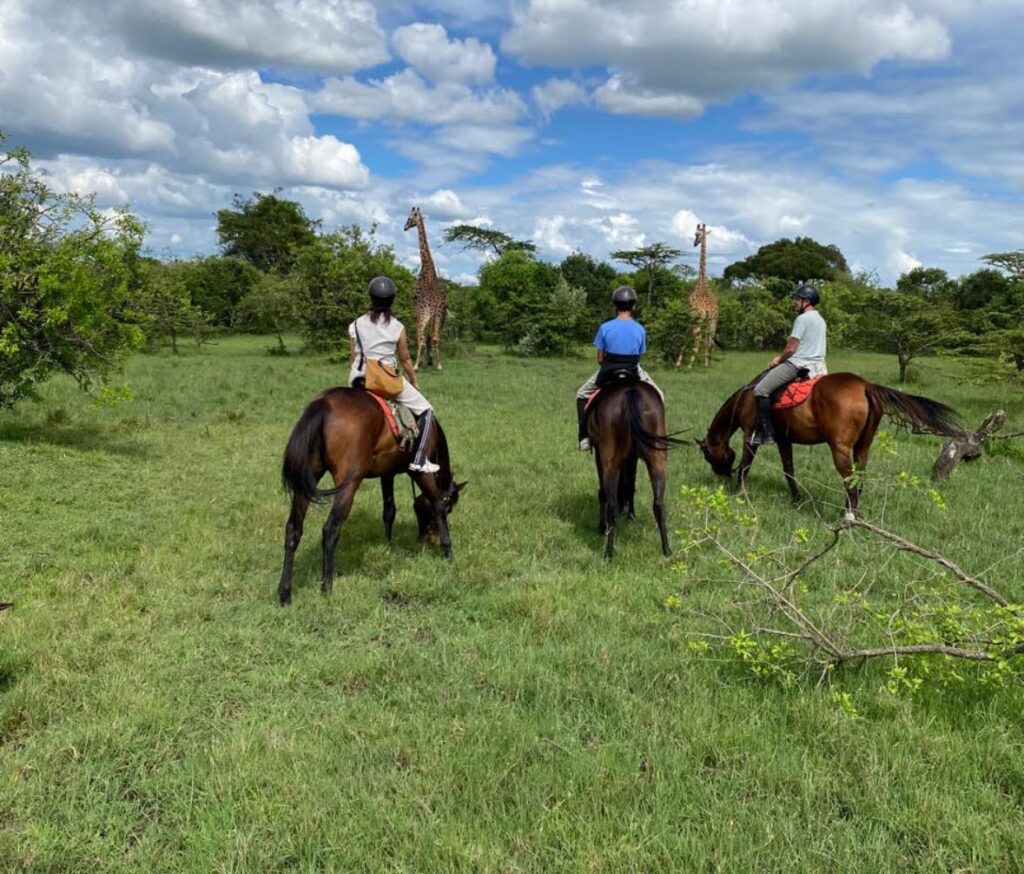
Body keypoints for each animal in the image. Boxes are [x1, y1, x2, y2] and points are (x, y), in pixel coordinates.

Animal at [274, 390, 462, 609]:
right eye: (451, 507)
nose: (428, 539)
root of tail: (324, 403)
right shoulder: (419, 473)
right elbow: (438, 504)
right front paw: (448, 552)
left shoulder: (387, 473)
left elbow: (389, 511)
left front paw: (388, 547)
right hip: (349, 484)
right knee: (330, 530)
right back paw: (327, 588)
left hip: (307, 479)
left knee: (293, 529)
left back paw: (285, 594)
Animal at [401, 206, 446, 370]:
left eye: (409, 218)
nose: (404, 227)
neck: (426, 265)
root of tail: (433, 305)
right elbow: (430, 338)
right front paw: (430, 361)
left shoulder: (415, 307)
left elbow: (421, 339)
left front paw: (421, 363)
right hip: (440, 317)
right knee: (435, 338)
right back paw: (438, 365)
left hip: (423, 316)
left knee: (420, 338)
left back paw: (415, 366)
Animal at [589, 378, 684, 560]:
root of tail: (631, 391)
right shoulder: (632, 458)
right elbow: (630, 485)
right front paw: (631, 514)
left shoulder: (600, 455)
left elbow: (606, 492)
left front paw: (601, 526)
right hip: (657, 461)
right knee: (659, 505)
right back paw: (667, 550)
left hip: (610, 462)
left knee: (611, 505)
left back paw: (608, 552)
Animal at [679, 222, 720, 370]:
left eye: (697, 234)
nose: (695, 243)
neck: (702, 282)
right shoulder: (707, 319)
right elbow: (706, 341)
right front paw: (705, 363)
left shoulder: (690, 314)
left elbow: (685, 337)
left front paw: (678, 362)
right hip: (713, 319)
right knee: (710, 341)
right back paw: (707, 364)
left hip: (698, 319)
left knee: (697, 340)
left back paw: (689, 366)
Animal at [696, 374, 958, 513]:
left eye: (708, 456)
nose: (721, 477)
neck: (747, 398)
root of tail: (865, 385)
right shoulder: (784, 440)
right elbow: (788, 470)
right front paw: (796, 499)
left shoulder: (750, 435)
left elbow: (746, 464)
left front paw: (739, 491)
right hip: (862, 448)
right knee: (858, 478)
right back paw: (852, 512)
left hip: (840, 449)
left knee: (849, 480)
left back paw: (848, 517)